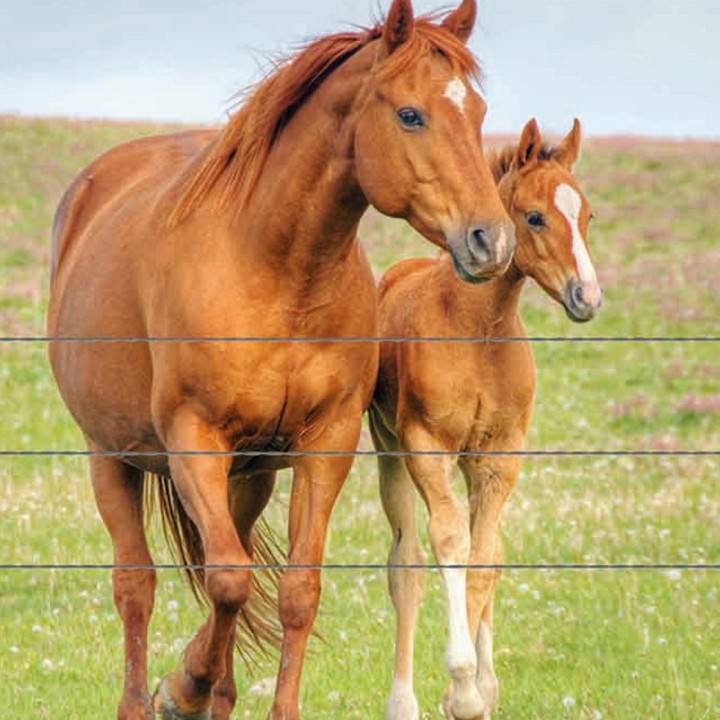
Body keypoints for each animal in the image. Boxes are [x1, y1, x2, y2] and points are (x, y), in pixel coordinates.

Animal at [46, 1, 515, 718]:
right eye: (411, 114)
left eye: (481, 111)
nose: (490, 239)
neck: (278, 271)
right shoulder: (193, 440)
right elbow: (229, 581)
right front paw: (181, 689)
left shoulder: (325, 444)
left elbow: (293, 591)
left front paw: (221, 690)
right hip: (112, 456)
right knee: (137, 584)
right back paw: (150, 696)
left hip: (248, 476)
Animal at [369, 117, 602, 720]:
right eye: (535, 216)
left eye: (588, 215)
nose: (588, 296)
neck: (477, 329)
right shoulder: (426, 445)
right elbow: (450, 544)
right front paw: (460, 679)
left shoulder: (501, 454)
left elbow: (485, 558)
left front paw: (476, 692)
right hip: (389, 452)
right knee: (406, 565)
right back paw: (402, 701)